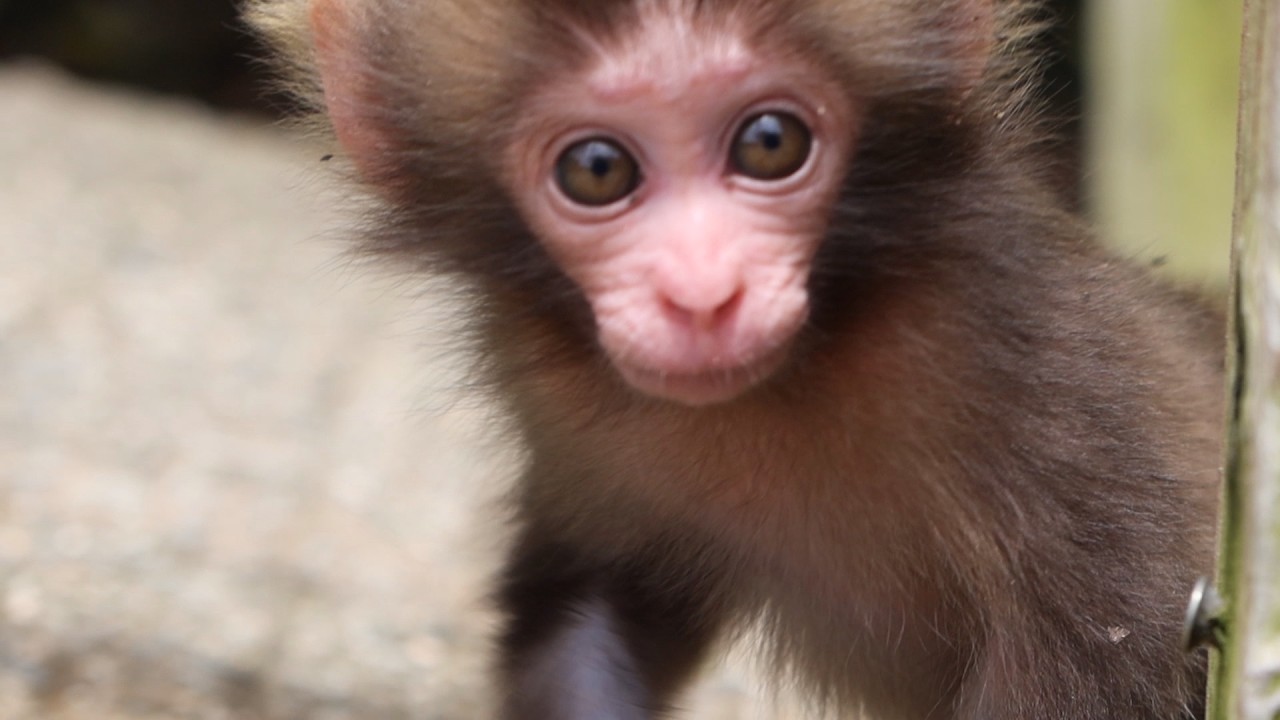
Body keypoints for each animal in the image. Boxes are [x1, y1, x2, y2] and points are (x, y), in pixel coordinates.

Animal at [245, 0, 1225, 717]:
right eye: (597, 169)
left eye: (769, 144)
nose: (704, 293)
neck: (806, 361)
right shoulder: (557, 400)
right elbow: (596, 597)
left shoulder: (1030, 363)